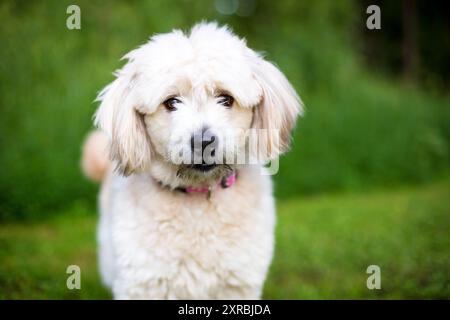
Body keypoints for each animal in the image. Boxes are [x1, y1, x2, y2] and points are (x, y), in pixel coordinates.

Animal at [82, 23, 304, 300]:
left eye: (226, 99)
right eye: (171, 102)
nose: (203, 141)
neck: (198, 196)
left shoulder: (237, 285)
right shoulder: (142, 284)